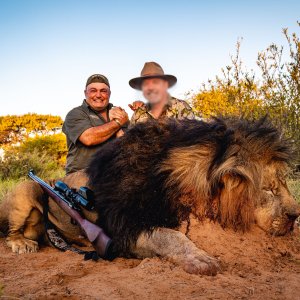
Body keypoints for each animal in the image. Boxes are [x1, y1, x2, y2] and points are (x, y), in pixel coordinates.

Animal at [0, 116, 298, 276]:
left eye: (282, 184)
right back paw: (22, 244)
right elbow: (170, 236)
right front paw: (201, 259)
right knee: (11, 231)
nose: (295, 215)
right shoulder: (123, 229)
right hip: (26, 189)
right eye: (269, 189)